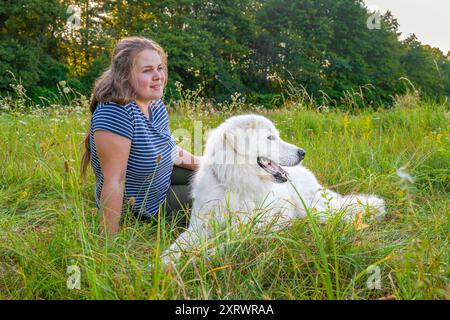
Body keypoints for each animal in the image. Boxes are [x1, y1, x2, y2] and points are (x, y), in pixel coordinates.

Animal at [163, 115, 386, 264]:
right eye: (270, 138)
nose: (302, 152)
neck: (235, 184)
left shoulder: (246, 232)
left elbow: (216, 247)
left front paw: (194, 260)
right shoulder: (198, 229)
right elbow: (176, 247)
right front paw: (162, 264)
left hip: (311, 208)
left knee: (337, 214)